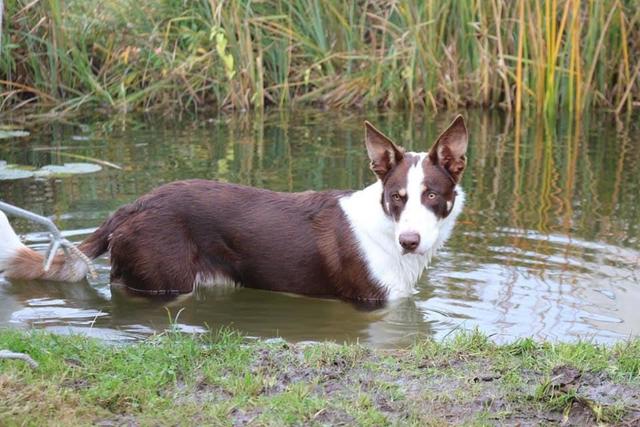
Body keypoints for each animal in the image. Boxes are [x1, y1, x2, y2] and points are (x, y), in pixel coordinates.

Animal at [0, 116, 470, 300]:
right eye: (397, 197)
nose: (410, 242)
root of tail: (133, 206)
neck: (386, 229)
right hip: (164, 281)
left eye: (431, 195)